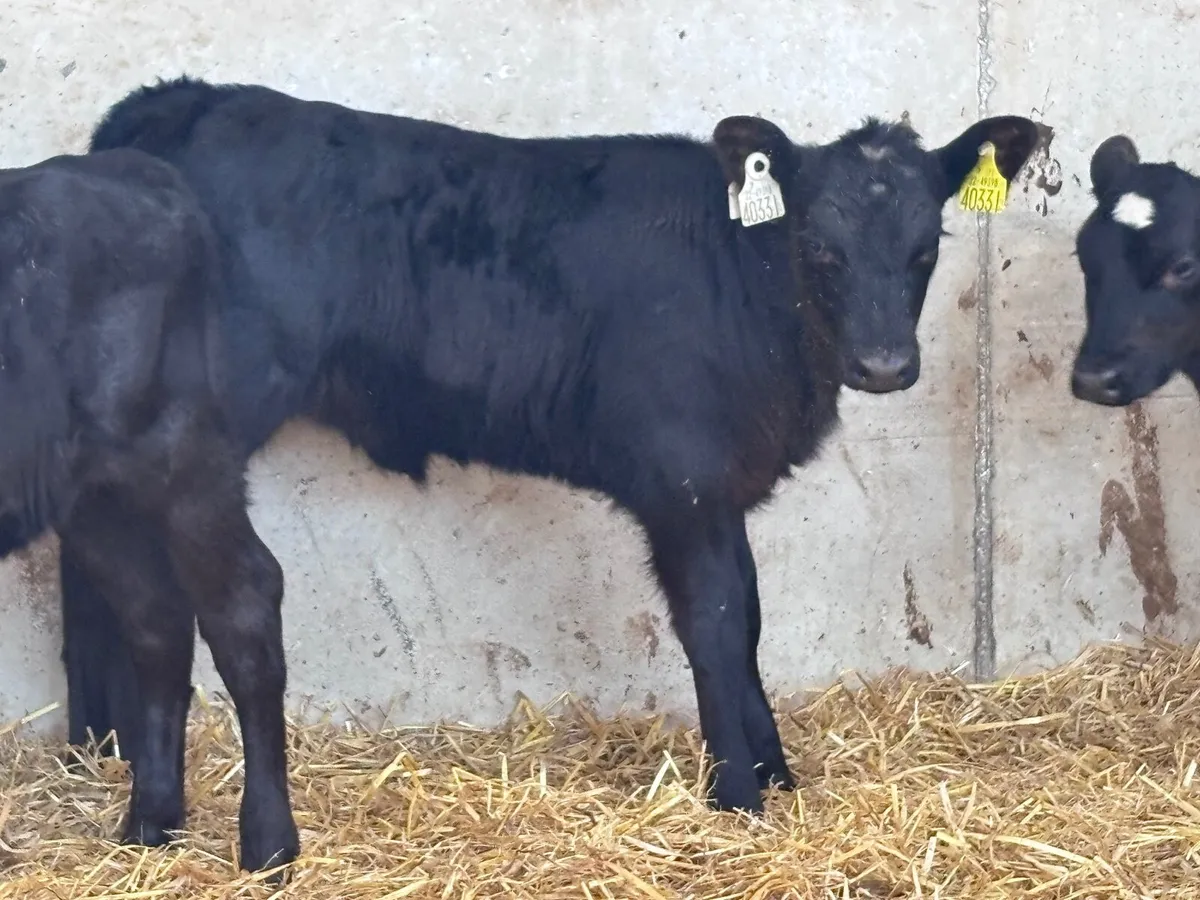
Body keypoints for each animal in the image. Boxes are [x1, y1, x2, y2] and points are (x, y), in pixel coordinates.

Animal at [0, 149, 297, 869]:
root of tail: (126, 166)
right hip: (93, 497)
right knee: (155, 617)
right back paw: (152, 820)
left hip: (179, 458)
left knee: (243, 603)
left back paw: (268, 842)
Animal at [58, 74, 1040, 872]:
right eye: (821, 246)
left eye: (925, 246)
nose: (883, 365)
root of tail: (175, 101)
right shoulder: (682, 484)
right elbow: (717, 625)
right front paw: (737, 792)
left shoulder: (720, 488)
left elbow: (752, 620)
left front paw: (774, 771)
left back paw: (101, 750)